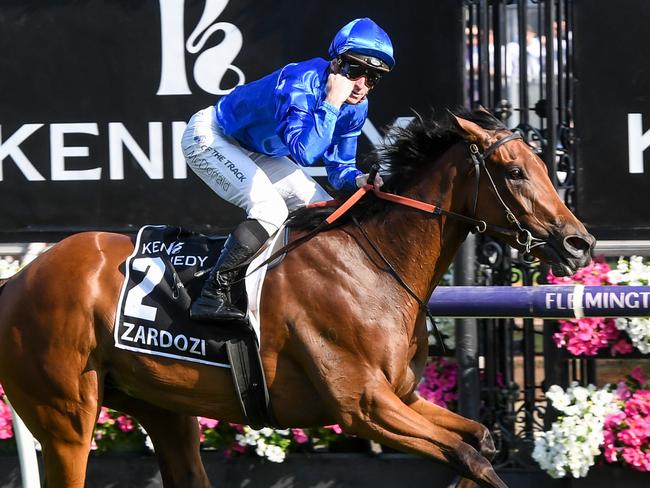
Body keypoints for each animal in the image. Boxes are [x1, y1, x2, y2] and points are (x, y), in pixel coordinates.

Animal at [0, 108, 592, 486]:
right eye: (514, 172)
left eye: (545, 167)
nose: (578, 242)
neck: (374, 263)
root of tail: (18, 279)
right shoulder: (364, 407)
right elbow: (469, 457)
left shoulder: (402, 398)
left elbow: (480, 444)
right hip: (65, 416)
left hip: (161, 406)